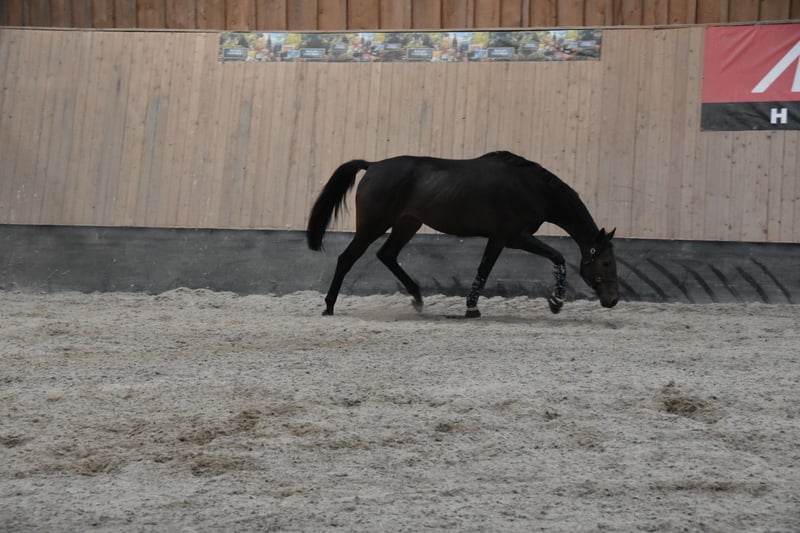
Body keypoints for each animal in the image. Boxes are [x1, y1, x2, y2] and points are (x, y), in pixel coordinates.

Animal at [306, 151, 619, 317]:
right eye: (605, 262)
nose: (613, 300)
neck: (533, 189)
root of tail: (372, 165)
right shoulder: (516, 237)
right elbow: (558, 257)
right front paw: (556, 302)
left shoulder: (498, 239)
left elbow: (483, 271)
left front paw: (472, 309)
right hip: (373, 225)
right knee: (347, 258)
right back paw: (329, 306)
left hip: (407, 224)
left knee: (387, 254)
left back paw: (418, 299)